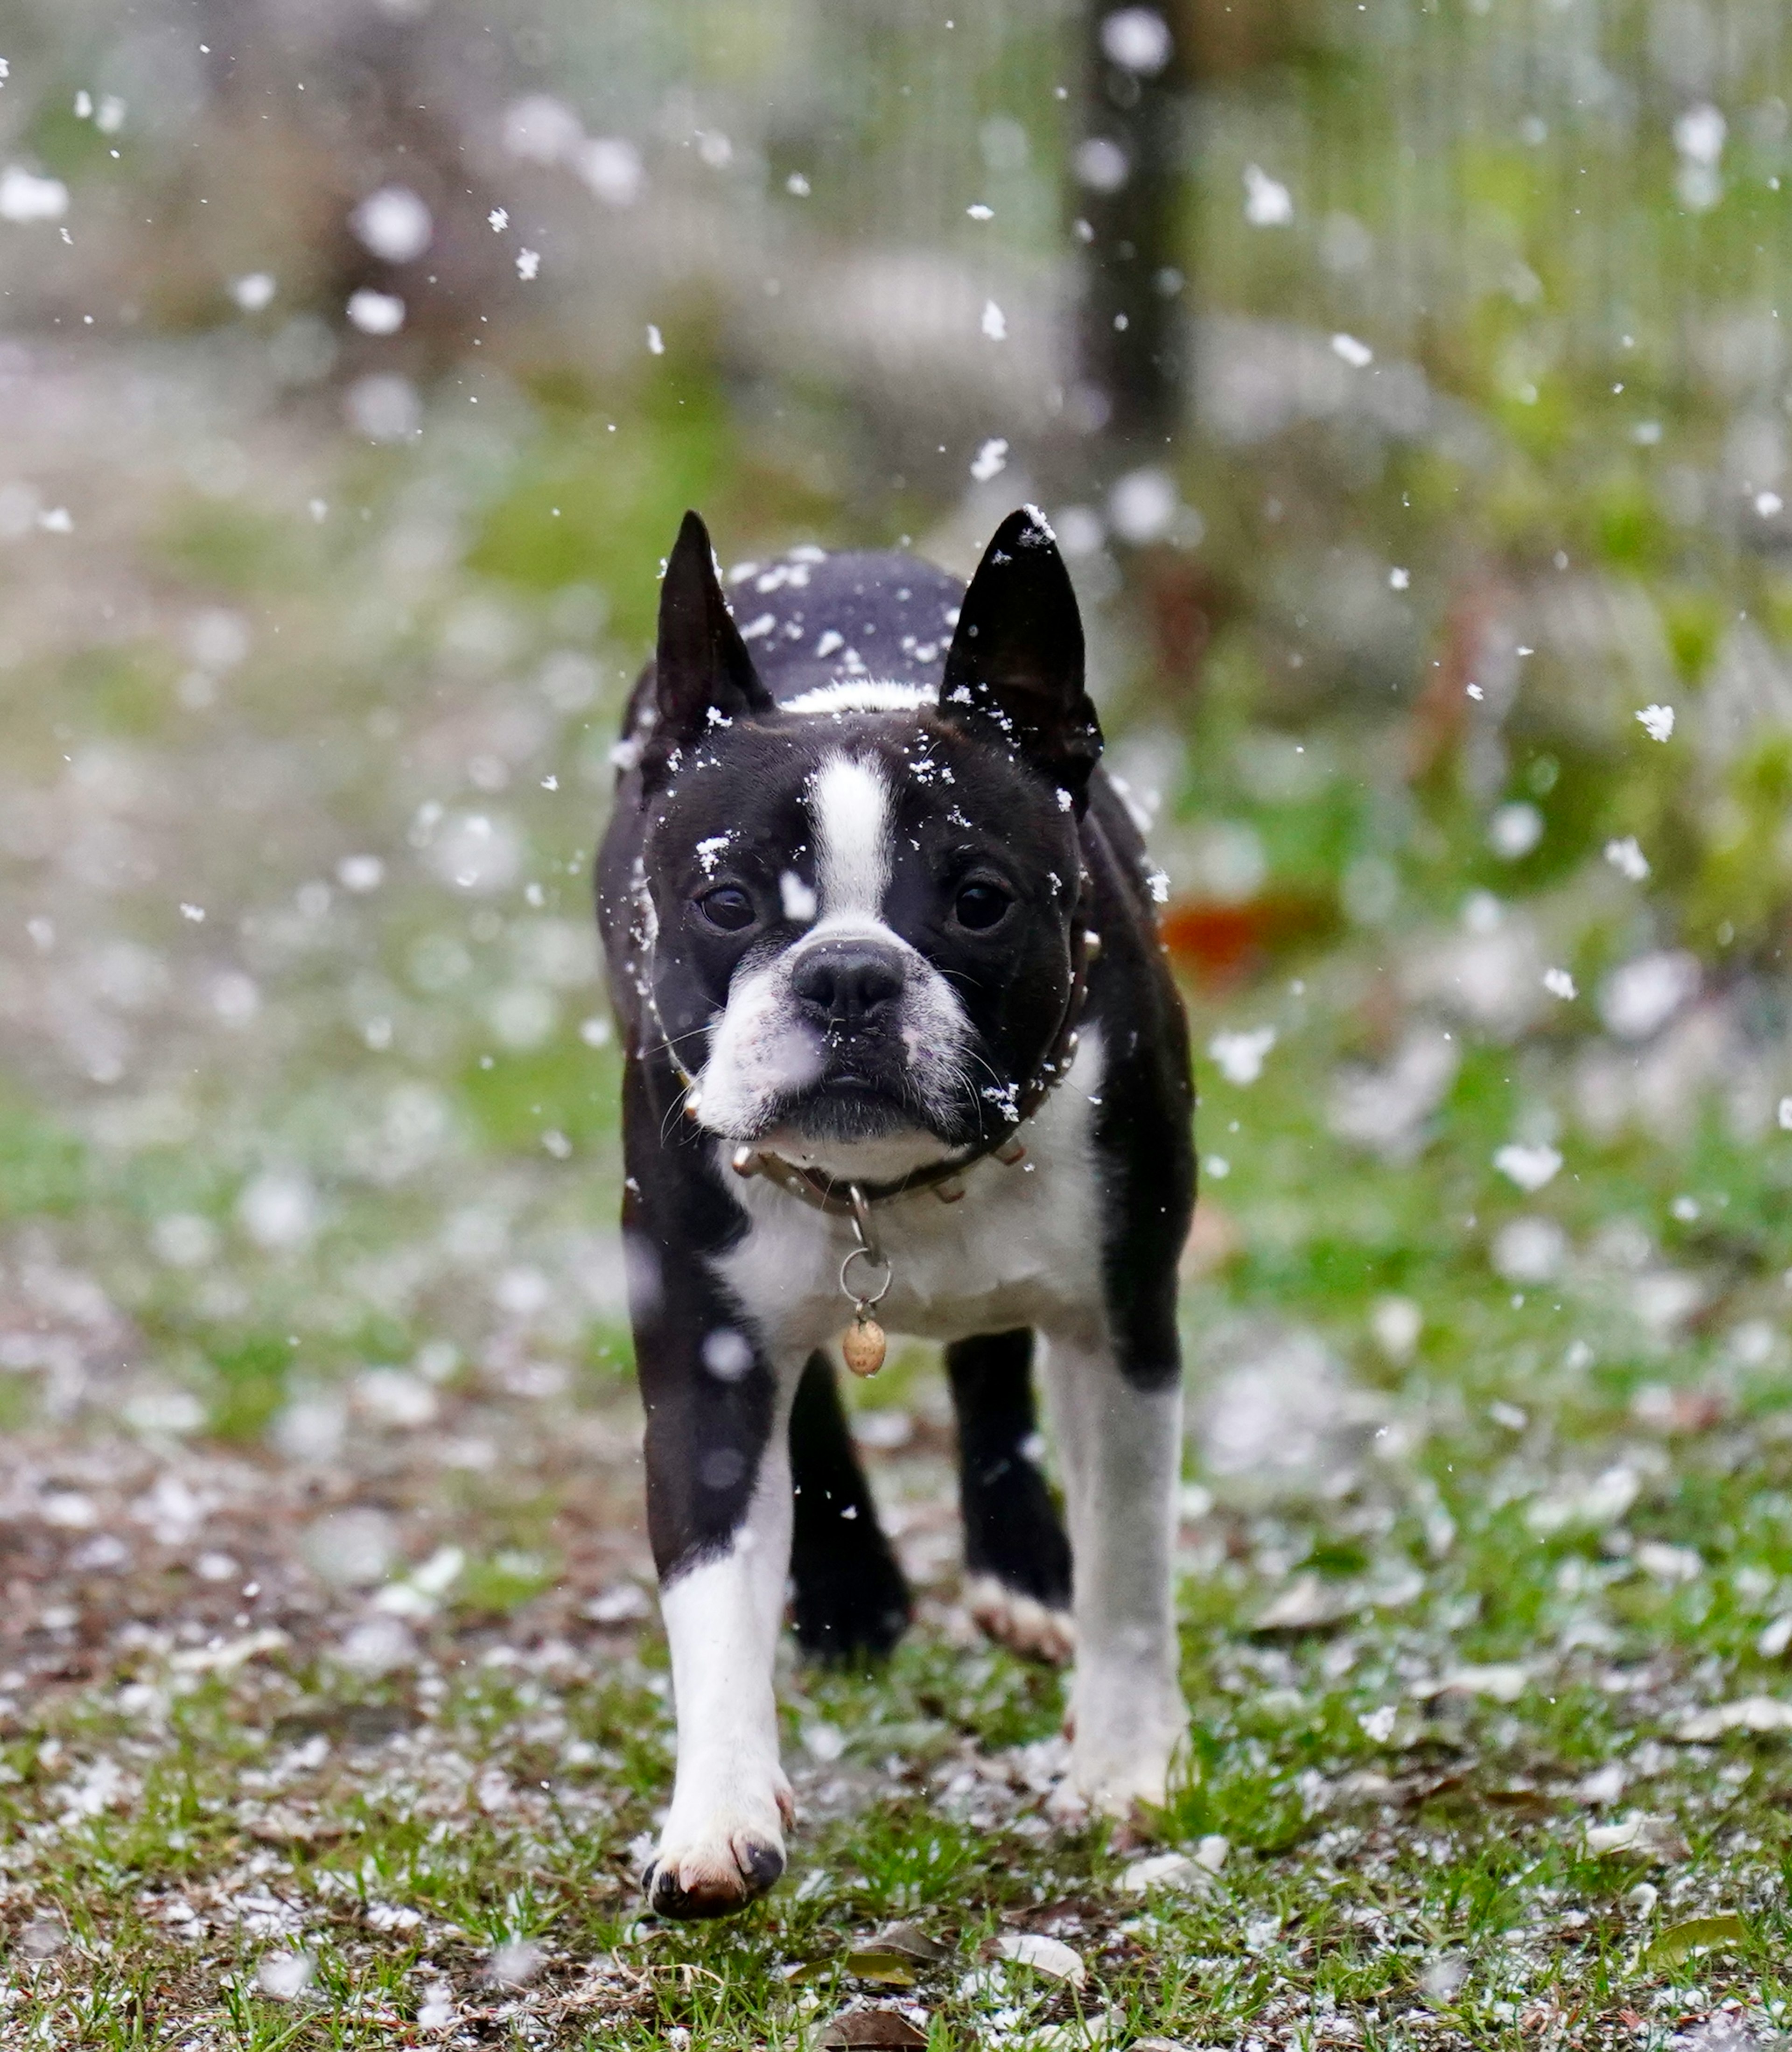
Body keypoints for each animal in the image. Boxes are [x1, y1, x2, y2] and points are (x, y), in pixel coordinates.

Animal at [595, 504, 1198, 1912]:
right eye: (726, 902)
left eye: (979, 901)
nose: (850, 973)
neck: (890, 1189)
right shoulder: (698, 1346)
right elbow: (708, 1578)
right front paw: (715, 1814)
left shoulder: (1126, 1323)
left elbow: (1130, 1558)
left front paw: (1123, 1762)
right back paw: (849, 1591)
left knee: (990, 1360)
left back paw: (1021, 1568)